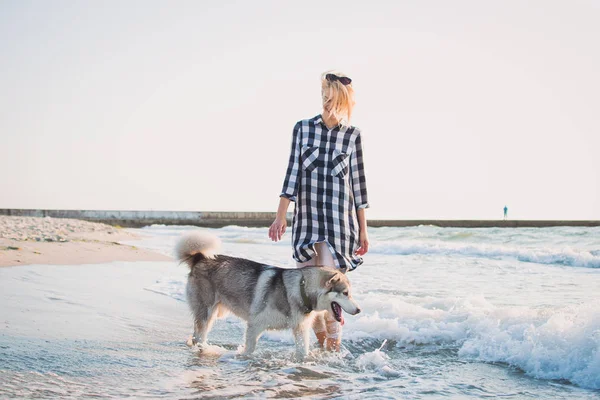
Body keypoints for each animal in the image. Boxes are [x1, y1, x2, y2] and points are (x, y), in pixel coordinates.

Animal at [175, 231, 360, 360]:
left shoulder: (300, 329)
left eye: (350, 294)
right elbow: (250, 349)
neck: (300, 290)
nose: (359, 310)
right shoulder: (255, 324)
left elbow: (303, 352)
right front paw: (245, 358)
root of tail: (200, 258)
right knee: (199, 336)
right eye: (345, 293)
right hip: (206, 313)